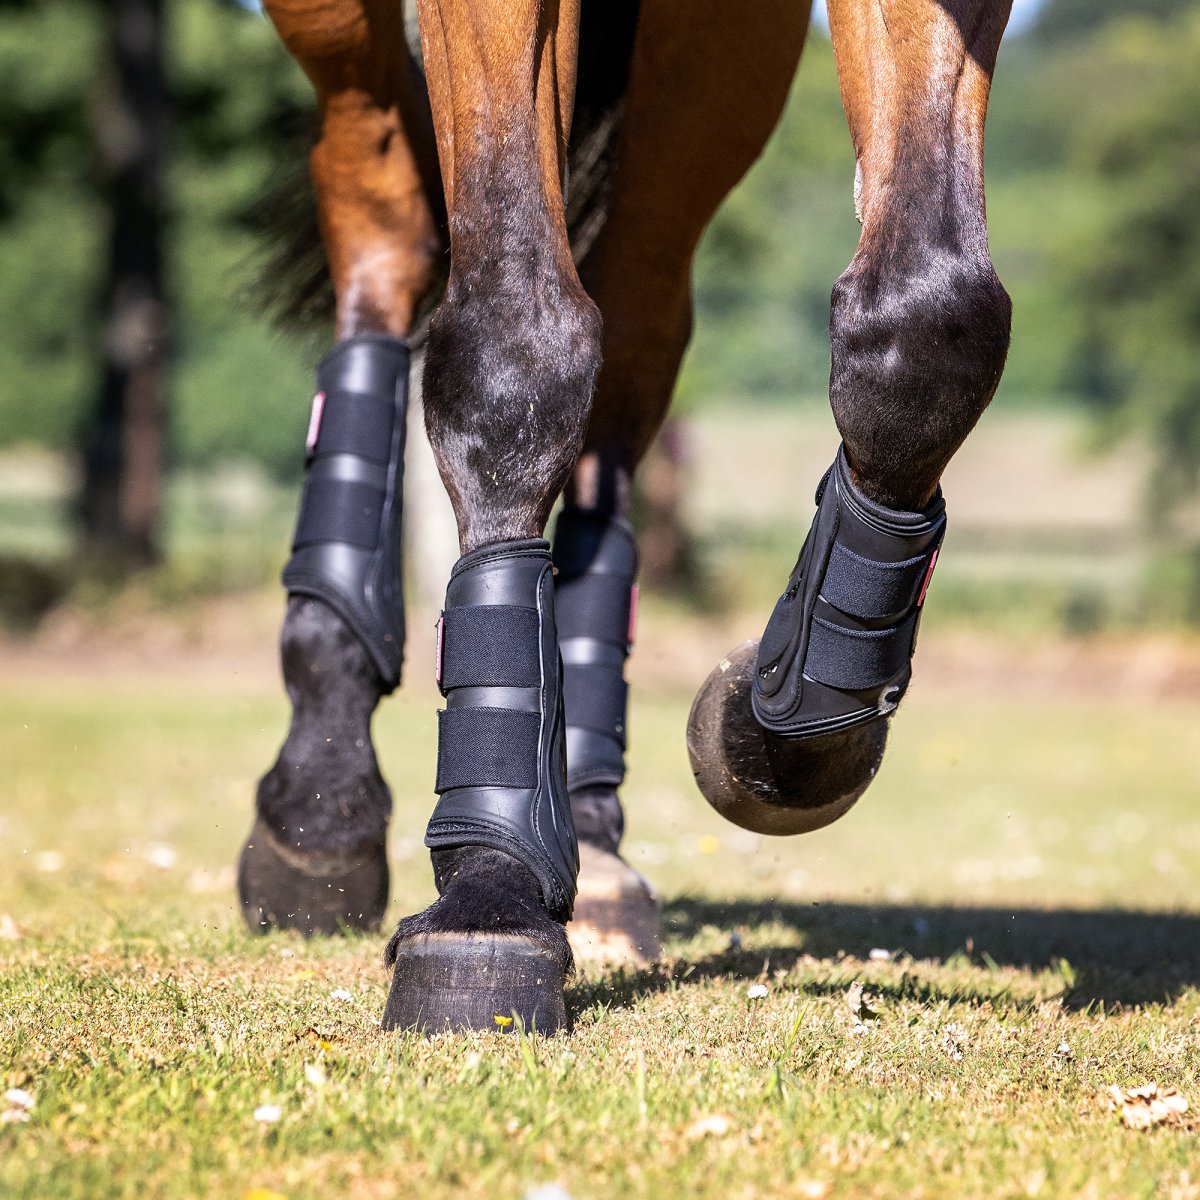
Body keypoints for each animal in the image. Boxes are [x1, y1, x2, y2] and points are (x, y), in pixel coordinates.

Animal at [234, 0, 1012, 1032]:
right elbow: (511, 347)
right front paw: (491, 892)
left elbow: (928, 321)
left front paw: (780, 719)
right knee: (387, 214)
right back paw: (323, 795)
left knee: (632, 312)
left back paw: (593, 840)